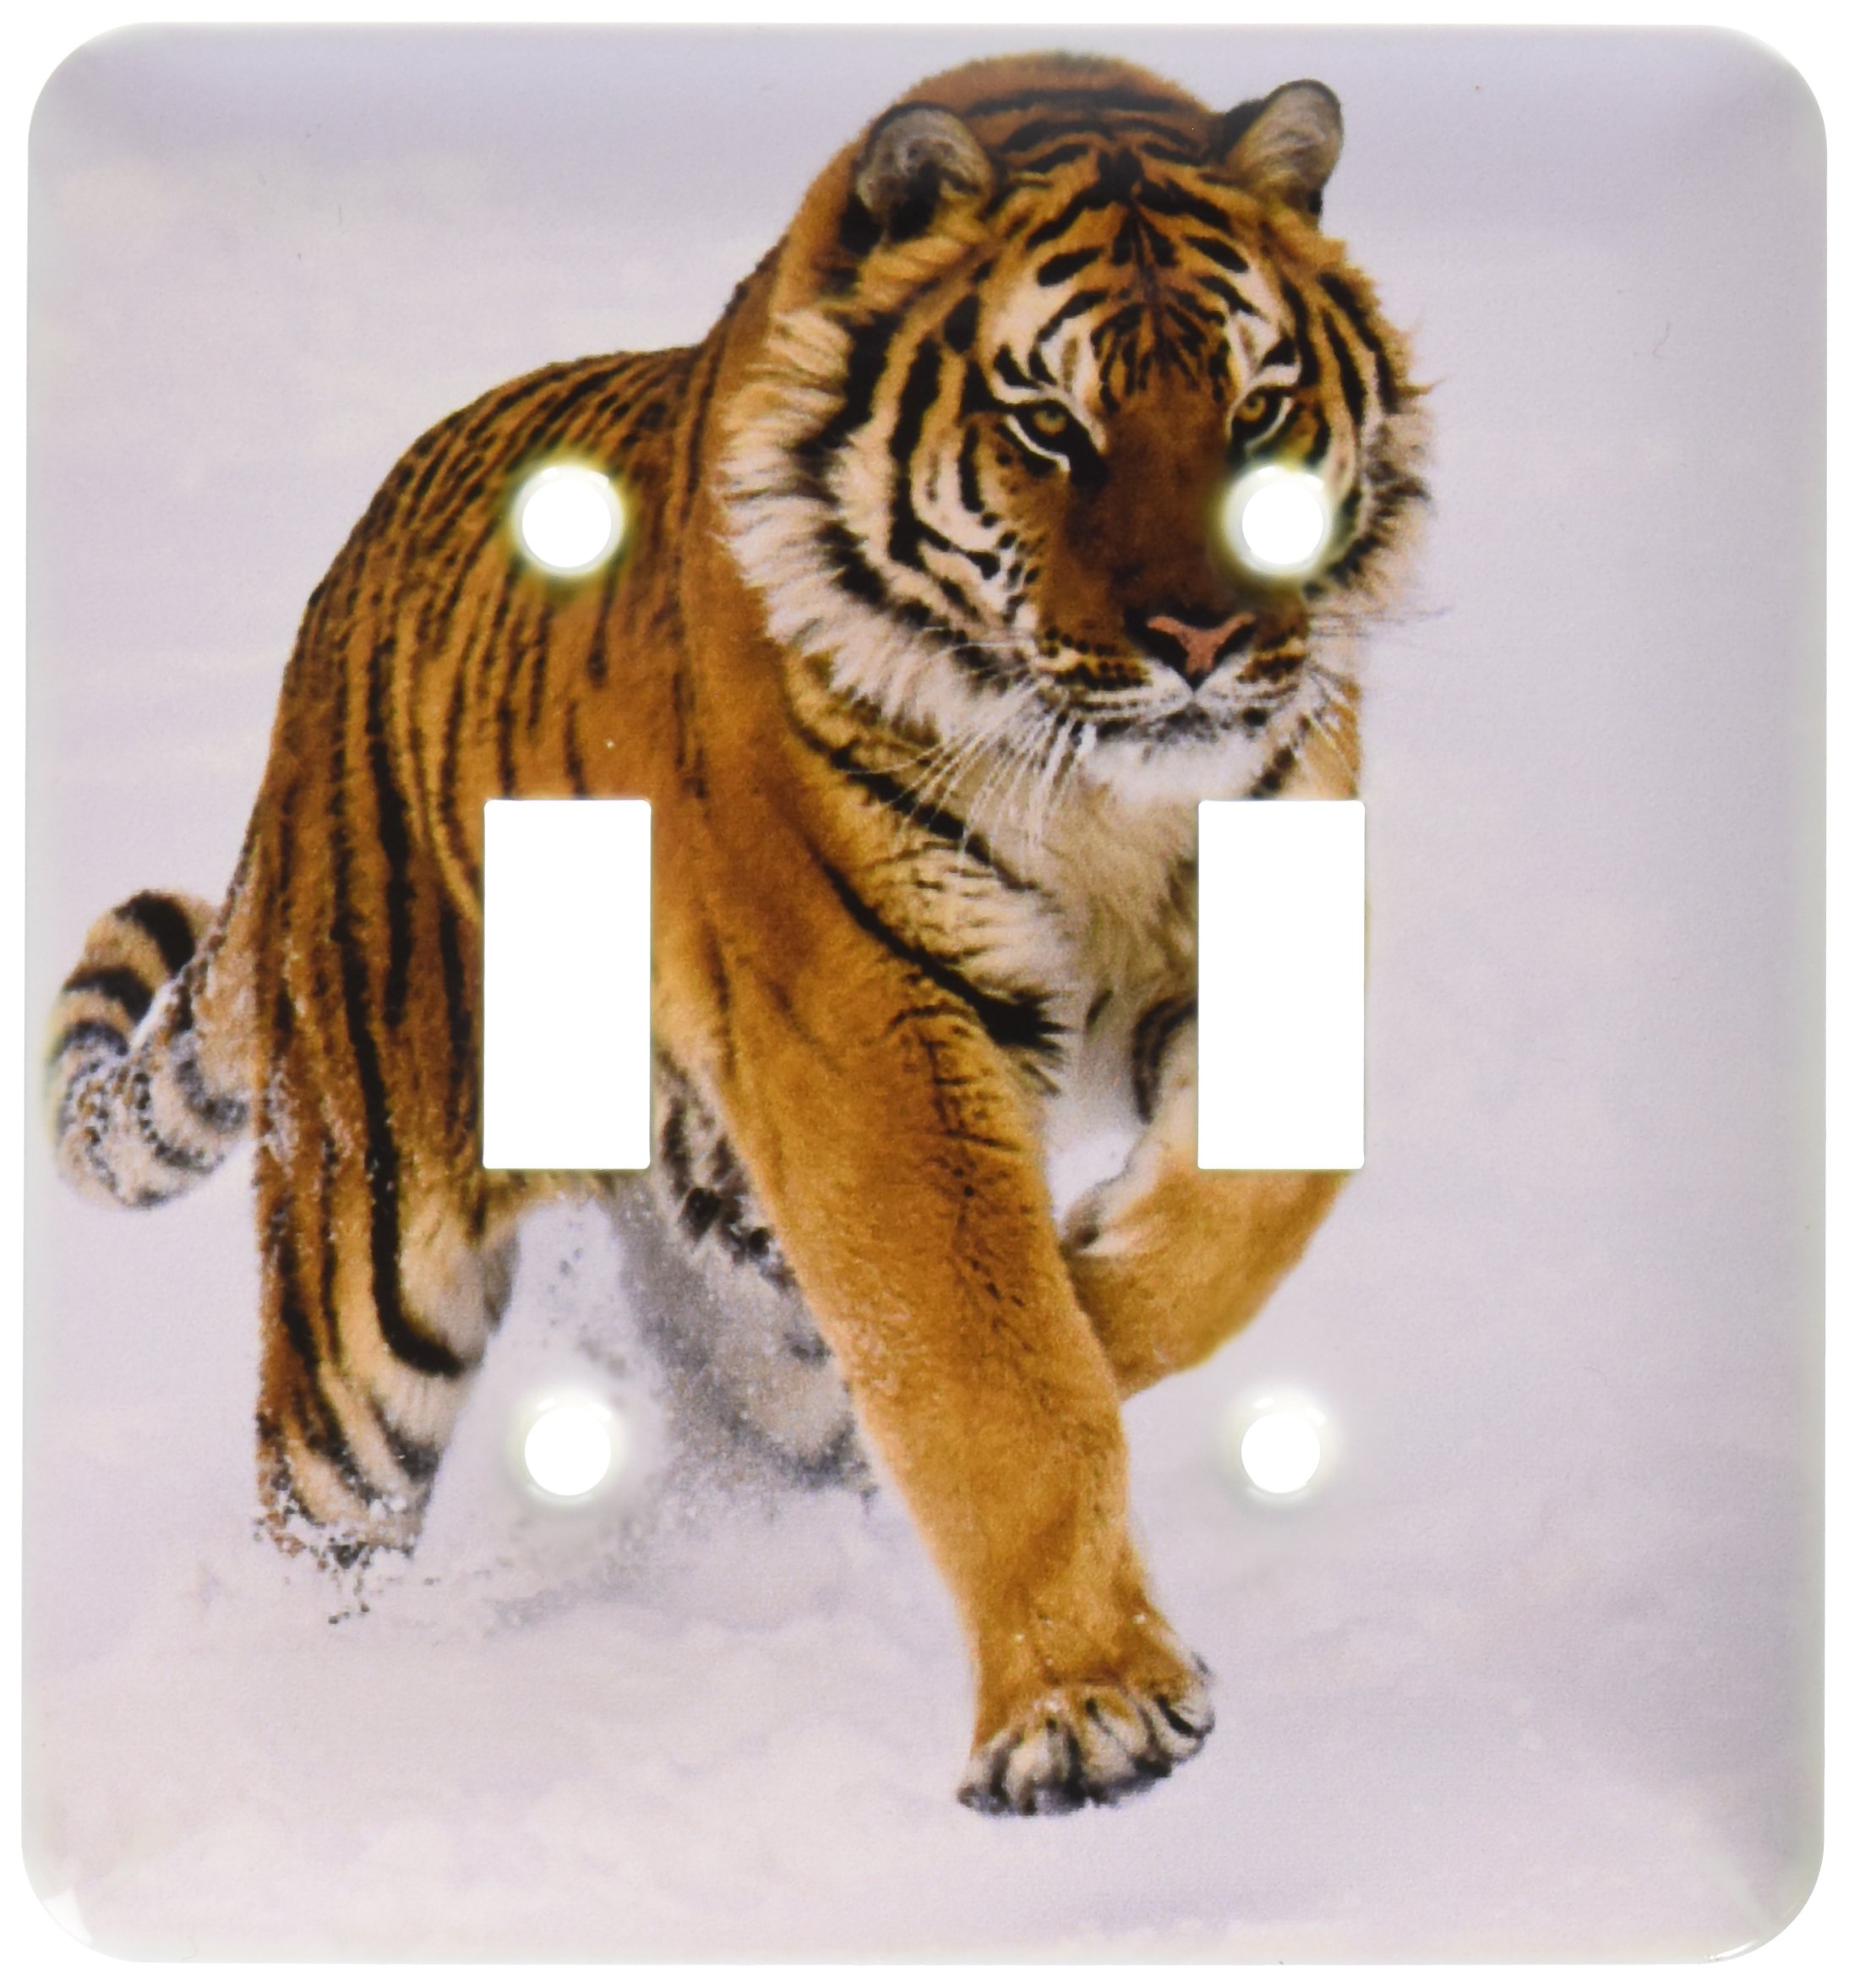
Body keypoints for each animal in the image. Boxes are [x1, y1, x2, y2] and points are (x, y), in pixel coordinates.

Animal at [45, 52, 1425, 1816]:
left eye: (1256, 408)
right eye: (1049, 426)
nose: (1202, 637)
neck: (1103, 798)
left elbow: (1243, 1217)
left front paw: (1094, 1290)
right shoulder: (872, 1024)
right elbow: (989, 1377)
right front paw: (1088, 1707)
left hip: (717, 1277)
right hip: (372, 1261)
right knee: (322, 1501)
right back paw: (334, 1707)